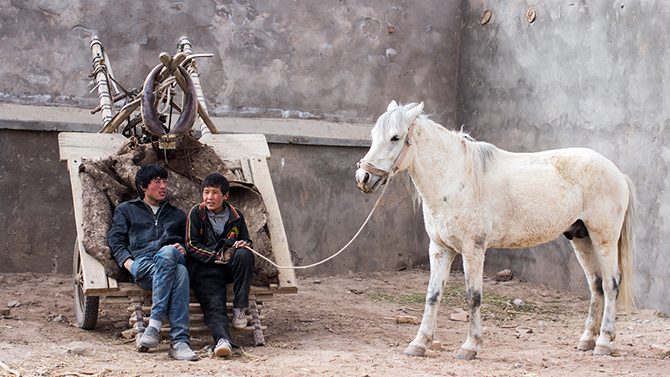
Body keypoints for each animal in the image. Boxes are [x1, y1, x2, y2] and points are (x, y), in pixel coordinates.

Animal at [354, 100, 636, 358]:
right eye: (373, 136)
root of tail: (617, 172)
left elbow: (473, 296)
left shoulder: (473, 250)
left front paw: (470, 346)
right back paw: (587, 340)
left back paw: (603, 343)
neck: (456, 179)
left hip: (603, 239)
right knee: (596, 285)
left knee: (611, 284)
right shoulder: (440, 249)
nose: (363, 178)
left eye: (395, 137)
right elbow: (433, 295)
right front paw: (419, 344)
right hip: (580, 238)